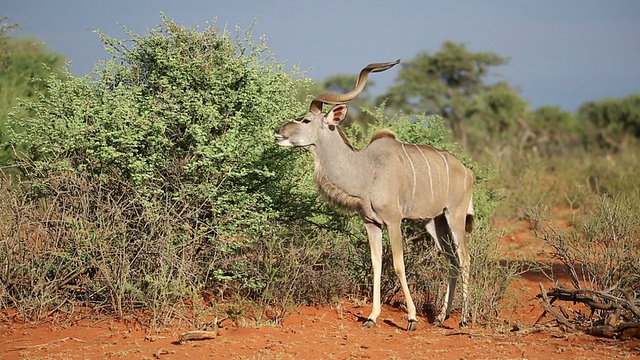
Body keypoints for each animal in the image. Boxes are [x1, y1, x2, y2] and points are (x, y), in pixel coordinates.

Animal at [276, 59, 476, 332]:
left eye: (305, 120)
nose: (278, 132)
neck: (366, 170)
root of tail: (467, 171)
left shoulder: (393, 221)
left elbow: (398, 264)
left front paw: (412, 319)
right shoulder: (371, 223)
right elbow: (376, 264)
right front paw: (371, 317)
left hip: (455, 216)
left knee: (464, 258)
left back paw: (464, 318)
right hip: (435, 223)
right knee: (451, 261)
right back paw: (440, 318)